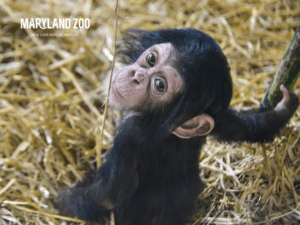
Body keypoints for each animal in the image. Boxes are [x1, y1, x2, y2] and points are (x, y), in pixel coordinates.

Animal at [55, 29, 298, 224]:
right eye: (151, 59)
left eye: (160, 85)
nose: (137, 75)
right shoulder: (217, 116)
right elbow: (247, 127)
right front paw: (285, 105)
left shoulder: (130, 133)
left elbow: (106, 195)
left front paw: (61, 201)